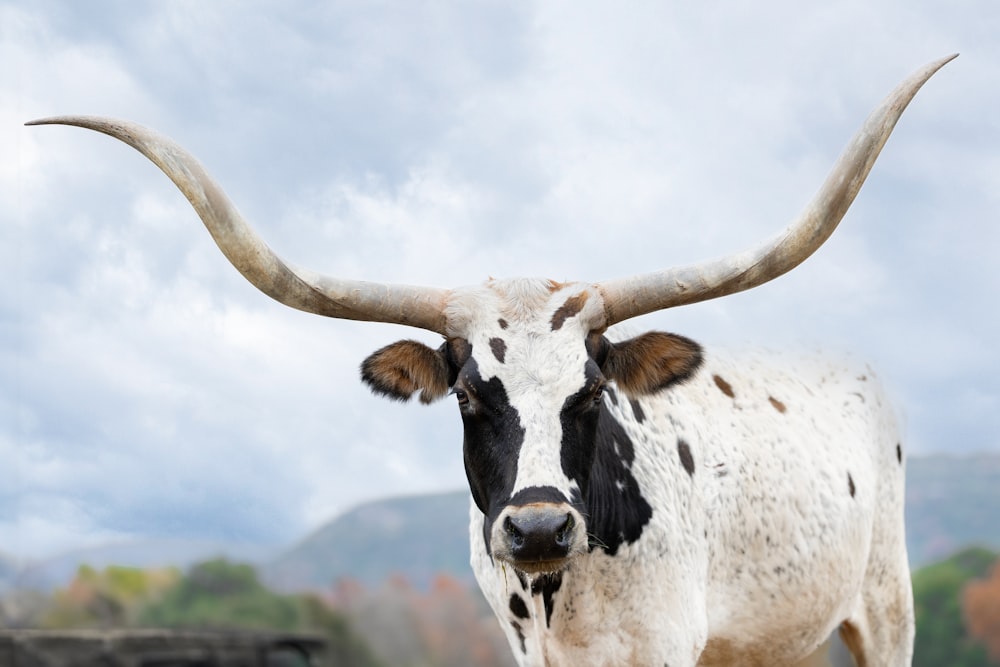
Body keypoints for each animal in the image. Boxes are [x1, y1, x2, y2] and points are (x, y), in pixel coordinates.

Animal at [29, 57, 952, 667]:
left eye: (592, 391)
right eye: (471, 394)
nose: (538, 526)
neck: (566, 597)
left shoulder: (665, 645)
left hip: (885, 606)